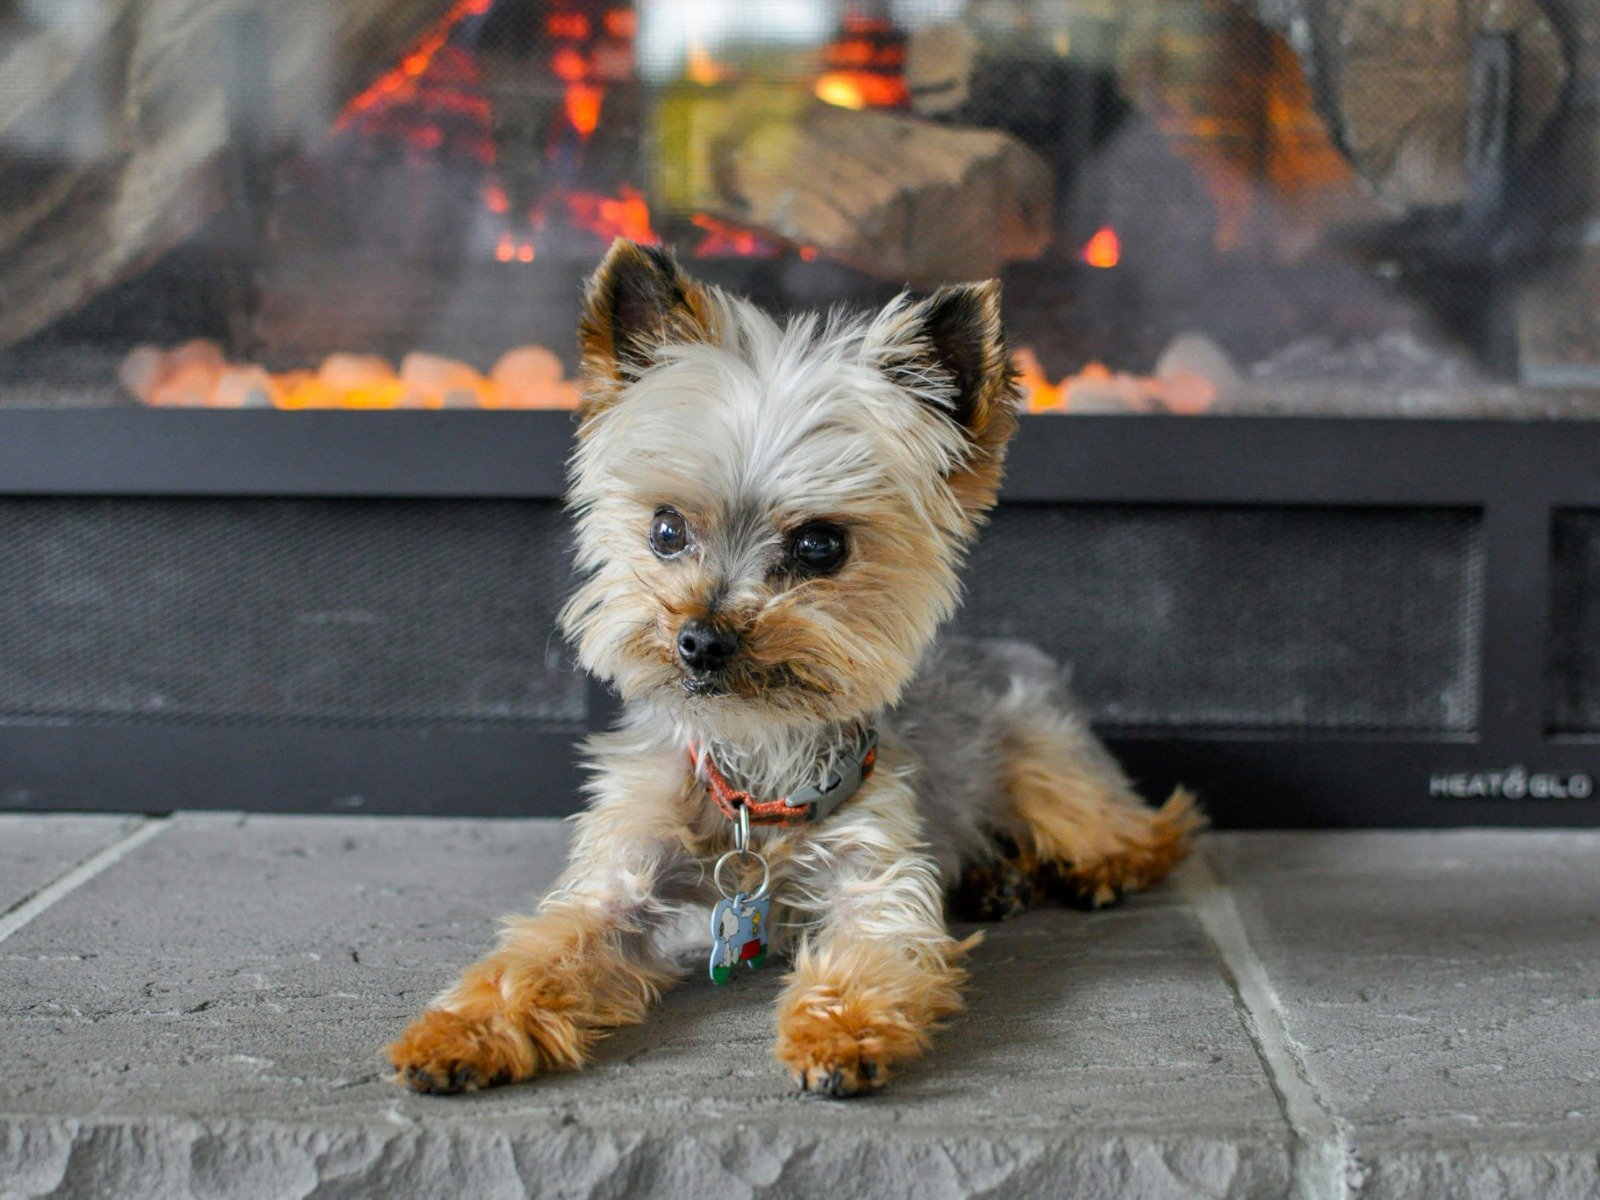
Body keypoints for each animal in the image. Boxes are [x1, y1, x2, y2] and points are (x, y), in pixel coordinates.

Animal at [390, 235, 1203, 1100]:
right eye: (667, 529)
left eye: (821, 545)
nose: (701, 639)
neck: (757, 765)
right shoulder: (621, 880)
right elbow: (539, 951)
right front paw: (463, 1029)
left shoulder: (874, 878)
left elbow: (868, 951)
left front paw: (839, 1032)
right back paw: (996, 879)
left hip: (1047, 757)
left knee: (1143, 828)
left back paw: (1086, 869)